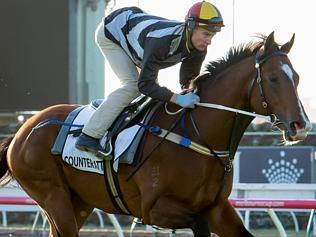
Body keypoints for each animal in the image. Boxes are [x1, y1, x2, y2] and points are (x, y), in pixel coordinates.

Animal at [0, 32, 312, 237]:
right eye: (273, 78)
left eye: (297, 78)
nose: (301, 125)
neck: (198, 134)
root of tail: (22, 132)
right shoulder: (155, 209)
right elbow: (199, 226)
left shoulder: (217, 208)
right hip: (53, 196)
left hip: (78, 203)